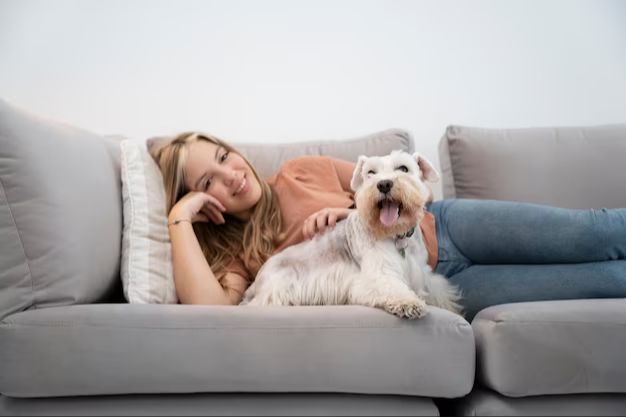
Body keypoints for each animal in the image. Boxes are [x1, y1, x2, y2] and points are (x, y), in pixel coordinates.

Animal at [241, 150, 460, 318]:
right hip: (277, 289)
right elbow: (390, 286)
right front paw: (408, 303)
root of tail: (257, 281)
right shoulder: (378, 274)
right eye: (370, 172)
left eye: (403, 168)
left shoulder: (422, 273)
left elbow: (436, 288)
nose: (384, 184)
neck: (396, 236)